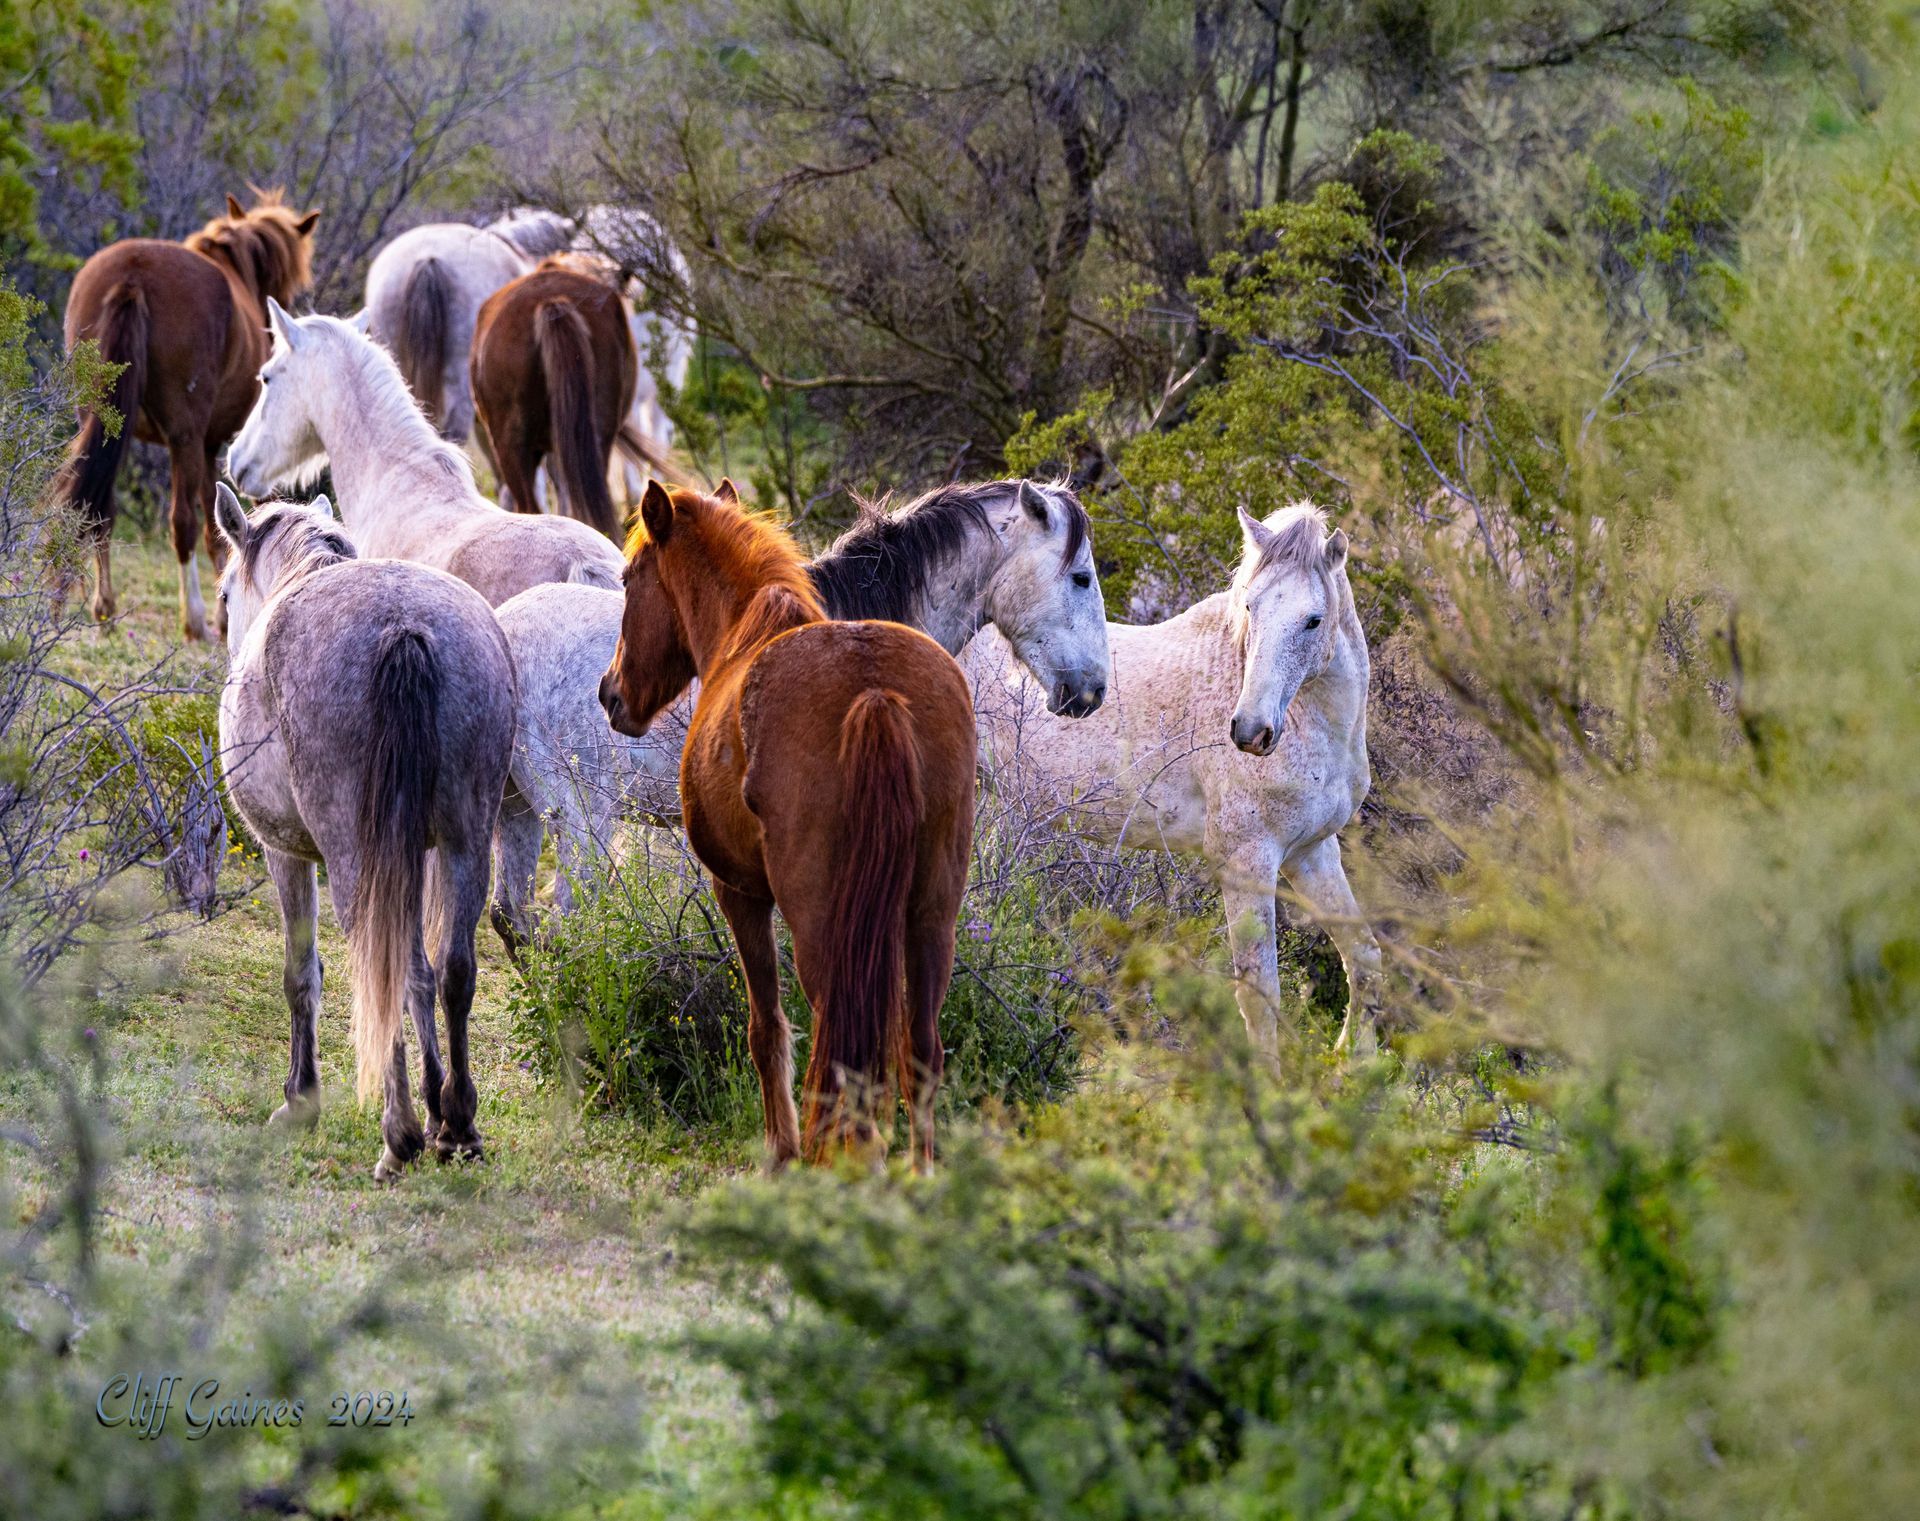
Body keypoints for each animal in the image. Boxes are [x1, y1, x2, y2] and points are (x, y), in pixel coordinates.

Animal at [54, 189, 320, 638]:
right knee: (182, 522)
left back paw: (103, 607)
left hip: (100, 422)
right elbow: (216, 529)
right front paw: (221, 615)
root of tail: (133, 276)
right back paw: (194, 619)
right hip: (184, 437)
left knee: (97, 508)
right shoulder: (209, 443)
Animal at [211, 483, 514, 1180]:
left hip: (354, 860)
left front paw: (300, 1100)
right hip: (465, 842)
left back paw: (398, 1137)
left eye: (223, 595)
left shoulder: (284, 853)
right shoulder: (418, 853)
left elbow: (303, 974)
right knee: (453, 970)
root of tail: (404, 628)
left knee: (378, 970)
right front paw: (437, 1102)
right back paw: (457, 1126)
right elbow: (424, 976)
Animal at [488, 477, 1108, 955]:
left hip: (516, 814)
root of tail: (503, 638)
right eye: (1080, 577)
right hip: (582, 826)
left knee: (510, 919)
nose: (1094, 690)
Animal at [600, 481, 978, 1166]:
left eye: (627, 578)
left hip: (820, 927)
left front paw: (781, 1151)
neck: (745, 632)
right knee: (920, 1051)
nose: (610, 693)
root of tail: (874, 693)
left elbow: (765, 1028)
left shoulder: (739, 893)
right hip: (933, 915)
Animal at [963, 503, 1383, 1054]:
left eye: (1313, 620)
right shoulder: (1246, 861)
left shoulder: (1312, 852)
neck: (1314, 726)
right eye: (1250, 607)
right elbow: (1260, 993)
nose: (1250, 731)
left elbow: (1364, 959)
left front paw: (1355, 1065)